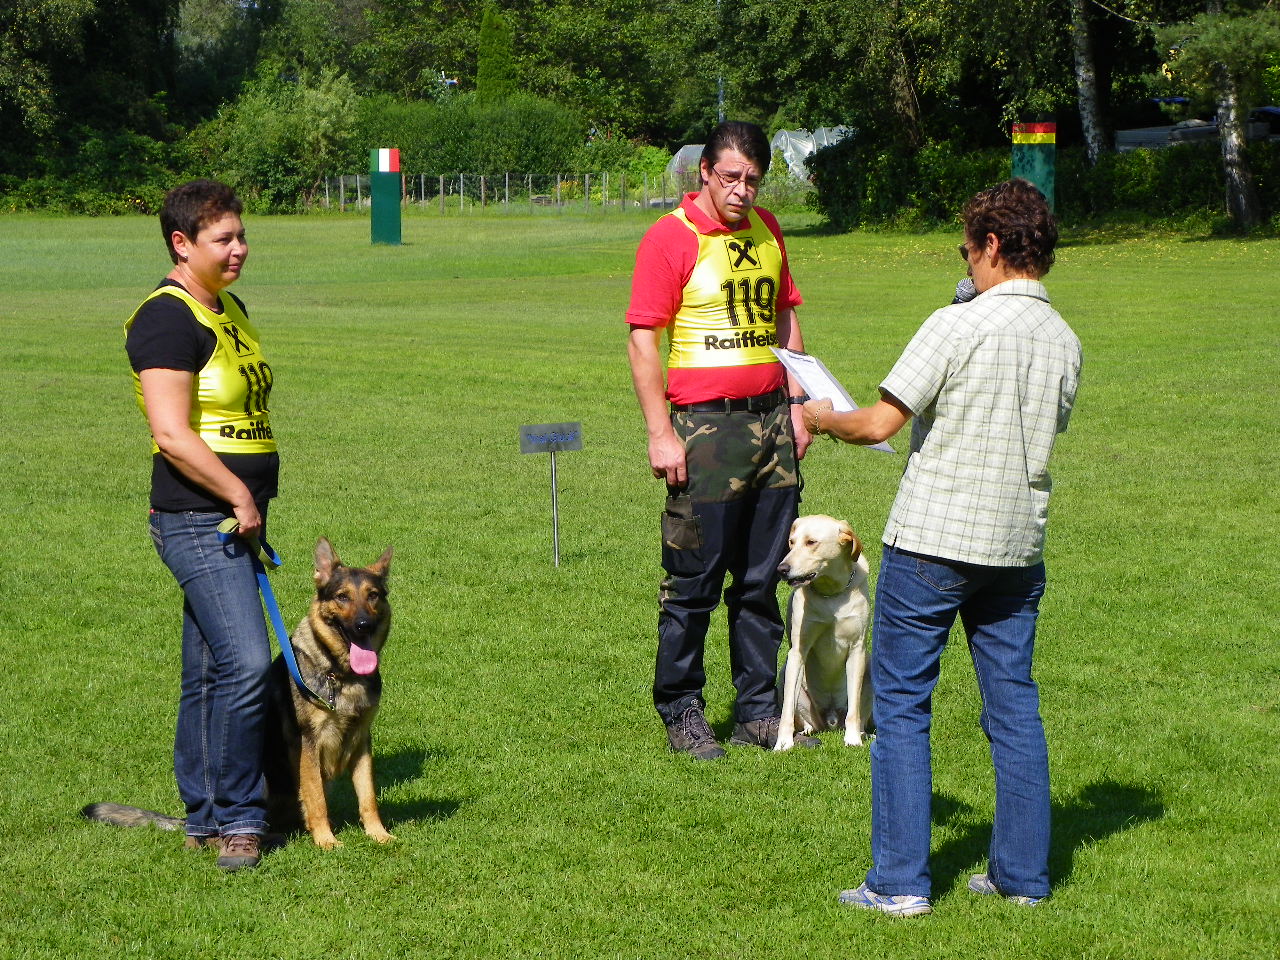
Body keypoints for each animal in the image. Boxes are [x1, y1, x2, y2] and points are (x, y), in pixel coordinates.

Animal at [83, 537, 395, 851]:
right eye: (342, 597)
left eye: (373, 596)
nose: (364, 625)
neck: (341, 674)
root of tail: (196, 821)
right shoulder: (308, 744)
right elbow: (316, 798)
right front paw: (326, 840)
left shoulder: (361, 740)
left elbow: (368, 796)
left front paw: (378, 834)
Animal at [774, 515, 872, 751]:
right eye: (791, 542)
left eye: (811, 542)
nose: (782, 568)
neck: (831, 592)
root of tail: (831, 718)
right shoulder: (798, 651)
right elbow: (786, 710)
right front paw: (783, 743)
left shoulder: (857, 649)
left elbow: (854, 710)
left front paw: (853, 739)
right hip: (786, 675)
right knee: (805, 718)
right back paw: (808, 731)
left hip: (870, 670)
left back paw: (863, 733)